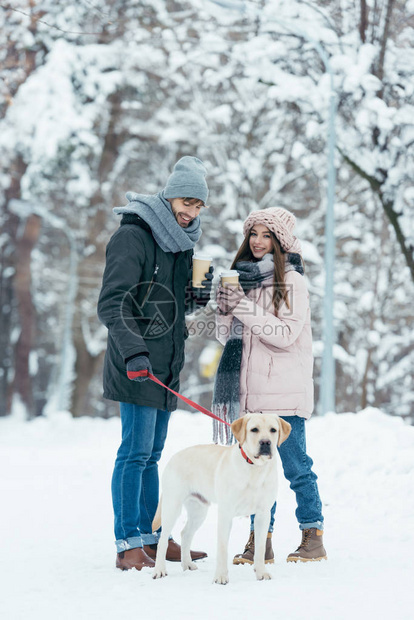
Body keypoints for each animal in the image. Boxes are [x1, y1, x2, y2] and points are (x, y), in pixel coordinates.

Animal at [152, 414, 292, 584]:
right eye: (254, 430)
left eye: (273, 430)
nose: (265, 442)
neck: (254, 468)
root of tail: (174, 457)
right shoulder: (226, 513)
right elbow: (223, 548)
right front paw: (220, 576)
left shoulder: (263, 514)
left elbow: (260, 548)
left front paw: (261, 573)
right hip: (172, 507)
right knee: (162, 540)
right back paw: (159, 570)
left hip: (198, 511)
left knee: (185, 534)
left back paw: (187, 564)